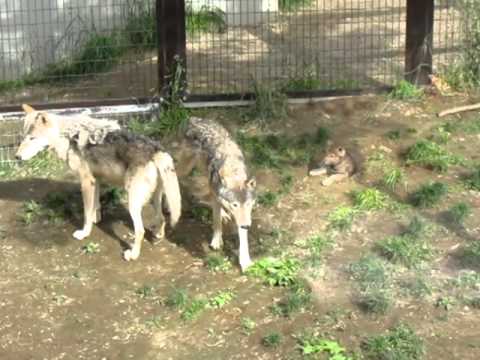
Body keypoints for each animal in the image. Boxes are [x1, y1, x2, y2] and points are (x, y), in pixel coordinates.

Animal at [16, 105, 182, 262]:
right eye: (24, 137)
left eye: (32, 138)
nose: (17, 157)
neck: (67, 137)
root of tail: (156, 150)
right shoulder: (95, 181)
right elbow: (95, 206)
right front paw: (97, 218)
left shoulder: (86, 182)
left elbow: (86, 213)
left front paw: (84, 233)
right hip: (154, 198)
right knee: (161, 218)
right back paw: (157, 235)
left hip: (132, 201)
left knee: (140, 231)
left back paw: (133, 255)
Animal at [175, 116, 256, 272]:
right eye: (235, 205)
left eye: (248, 204)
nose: (247, 226)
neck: (233, 170)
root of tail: (194, 119)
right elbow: (216, 219)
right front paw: (217, 241)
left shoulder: (243, 216)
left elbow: (242, 235)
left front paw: (245, 261)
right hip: (186, 167)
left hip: (205, 174)